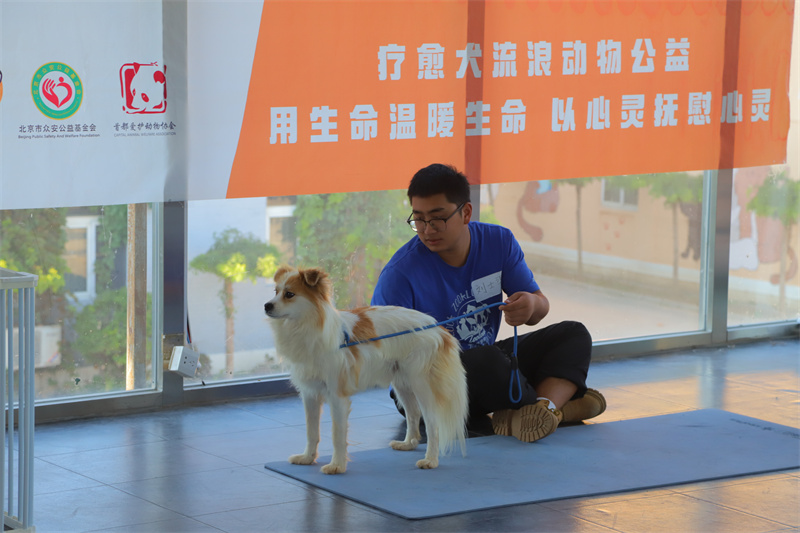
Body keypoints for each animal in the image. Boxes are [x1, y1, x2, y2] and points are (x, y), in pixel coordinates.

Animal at [264, 266, 468, 474]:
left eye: (289, 294)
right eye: (275, 291)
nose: (266, 306)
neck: (305, 328)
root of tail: (437, 328)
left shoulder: (337, 396)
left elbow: (337, 434)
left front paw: (337, 465)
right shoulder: (310, 395)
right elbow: (311, 431)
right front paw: (307, 458)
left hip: (422, 385)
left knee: (432, 425)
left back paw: (430, 460)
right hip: (402, 384)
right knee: (413, 413)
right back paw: (407, 444)